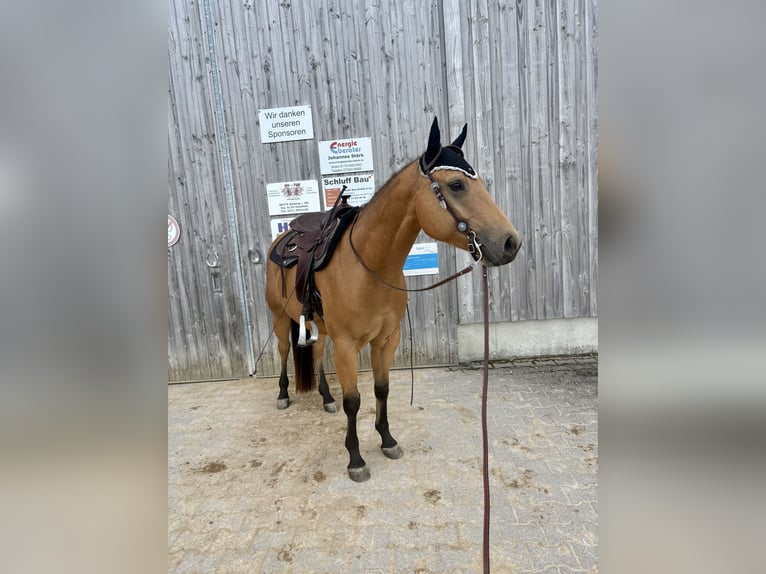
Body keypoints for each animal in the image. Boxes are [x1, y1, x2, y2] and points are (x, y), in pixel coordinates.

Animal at [265, 117, 521, 482]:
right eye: (457, 184)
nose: (511, 242)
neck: (370, 266)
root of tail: (284, 235)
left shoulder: (387, 339)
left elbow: (381, 390)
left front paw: (387, 439)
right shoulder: (347, 345)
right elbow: (354, 401)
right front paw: (355, 459)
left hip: (319, 325)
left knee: (314, 353)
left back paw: (325, 397)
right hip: (279, 317)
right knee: (285, 350)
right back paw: (284, 393)